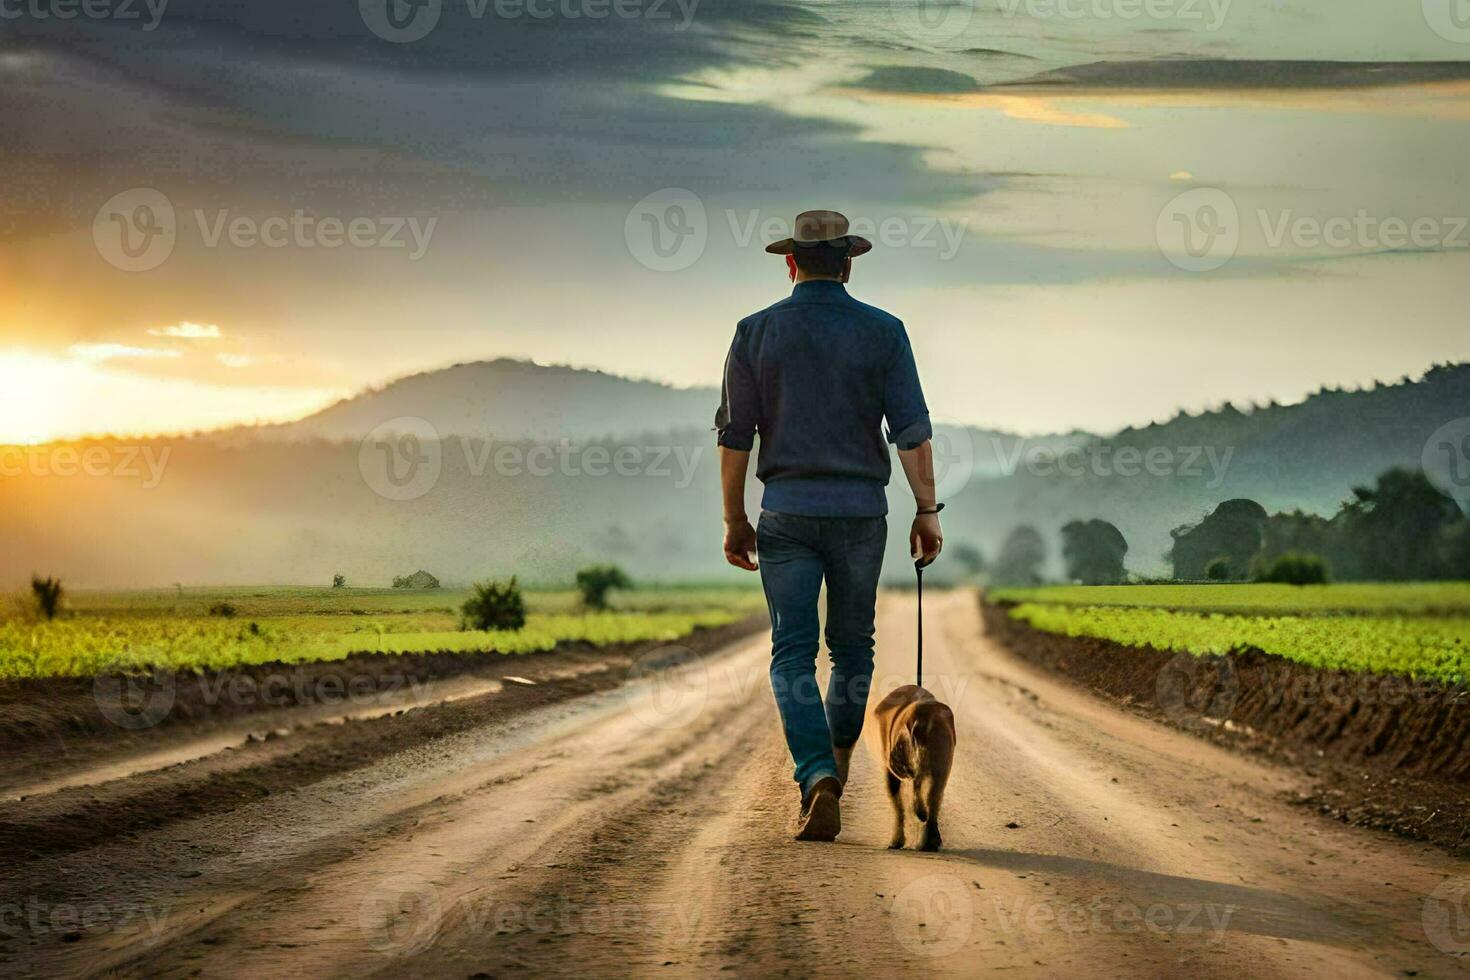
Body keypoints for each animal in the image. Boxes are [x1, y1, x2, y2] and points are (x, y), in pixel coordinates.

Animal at [864, 681, 958, 852]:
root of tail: (925, 720)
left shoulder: (891, 770)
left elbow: (898, 807)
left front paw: (896, 842)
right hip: (942, 764)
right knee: (933, 797)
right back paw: (929, 840)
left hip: (909, 761)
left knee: (917, 788)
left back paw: (920, 815)